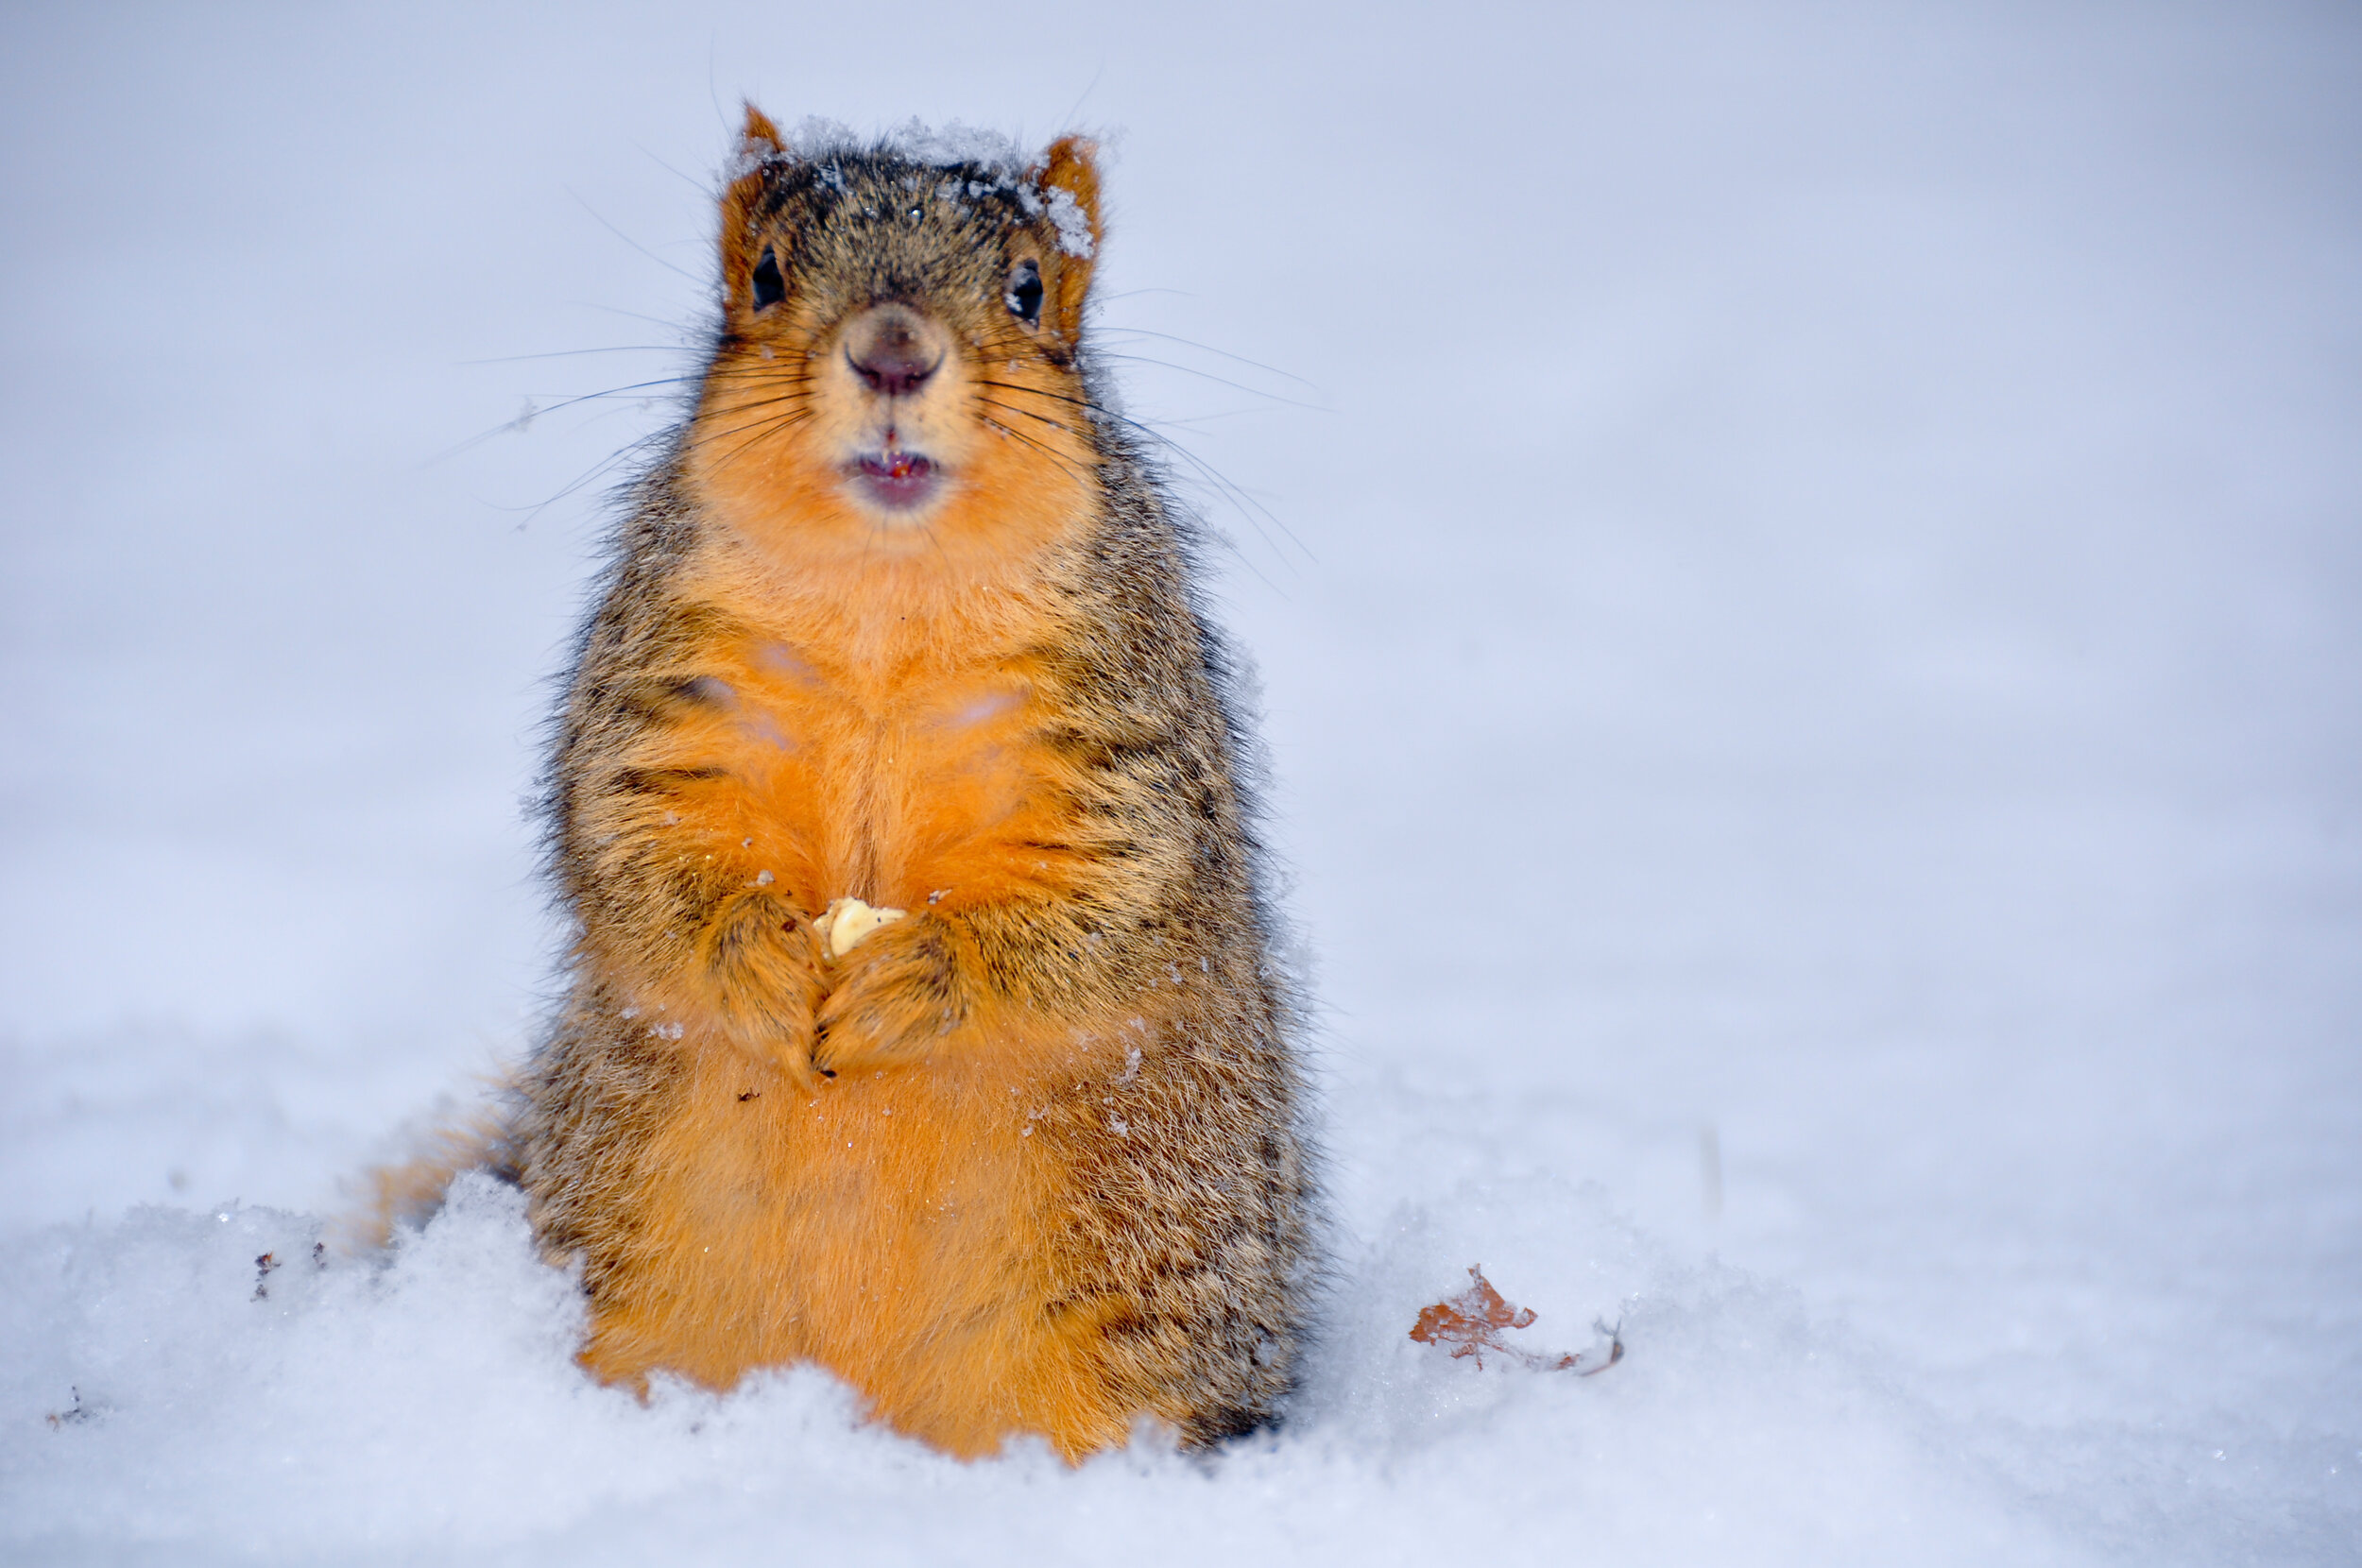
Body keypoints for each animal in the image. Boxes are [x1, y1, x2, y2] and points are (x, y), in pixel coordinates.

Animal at [382, 109, 1317, 1461]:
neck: (887, 603)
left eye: (1031, 288)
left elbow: (1113, 905)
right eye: (766, 276)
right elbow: (627, 840)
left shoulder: (1126, 745)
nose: (891, 352)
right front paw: (754, 957)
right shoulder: (662, 703)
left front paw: (918, 980)